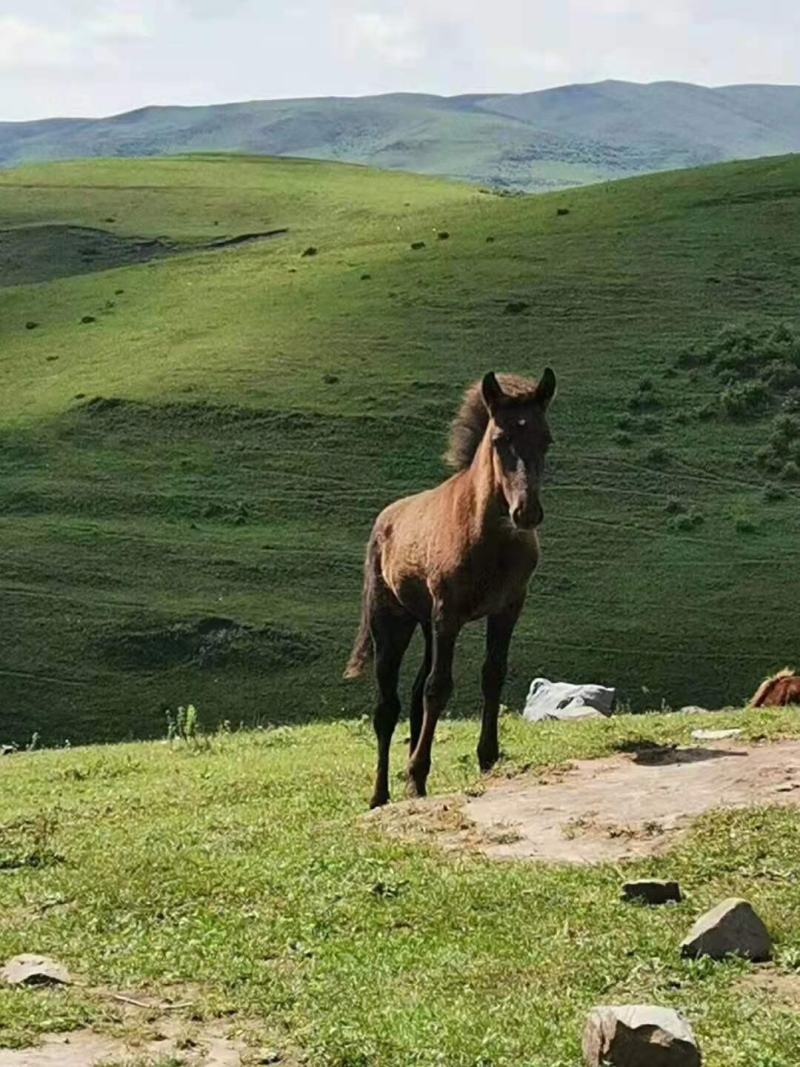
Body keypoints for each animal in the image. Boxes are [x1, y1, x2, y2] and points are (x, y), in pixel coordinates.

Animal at [344, 369, 556, 807]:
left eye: (546, 439)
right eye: (500, 439)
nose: (527, 513)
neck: (489, 537)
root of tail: (383, 521)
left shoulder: (508, 608)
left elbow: (492, 674)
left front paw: (487, 756)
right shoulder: (449, 614)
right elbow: (438, 688)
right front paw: (417, 773)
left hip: (426, 625)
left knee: (411, 695)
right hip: (393, 623)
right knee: (387, 706)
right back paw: (381, 794)